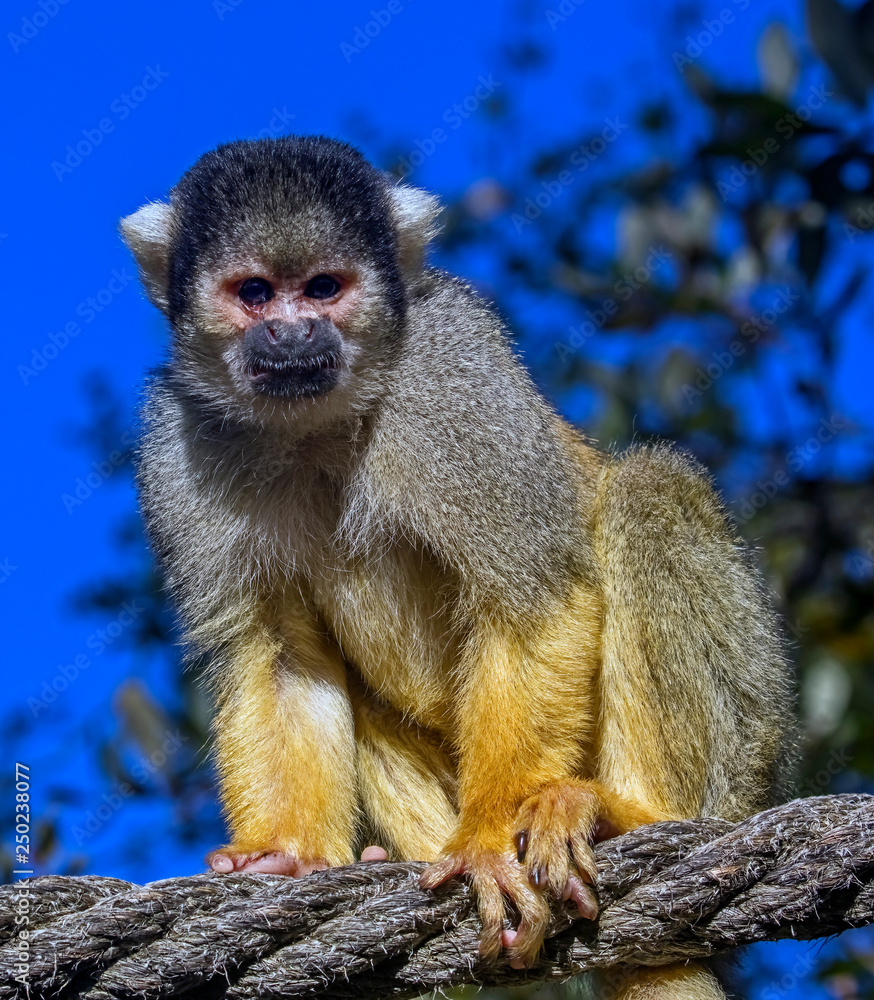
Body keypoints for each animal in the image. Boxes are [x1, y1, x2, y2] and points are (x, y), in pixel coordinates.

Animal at [119, 135, 792, 1000]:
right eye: (256, 293)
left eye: (325, 288)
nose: (293, 335)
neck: (320, 423)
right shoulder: (180, 435)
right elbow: (277, 654)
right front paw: (287, 856)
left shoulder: (452, 363)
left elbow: (532, 594)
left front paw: (488, 838)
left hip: (748, 758)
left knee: (647, 491)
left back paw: (629, 813)